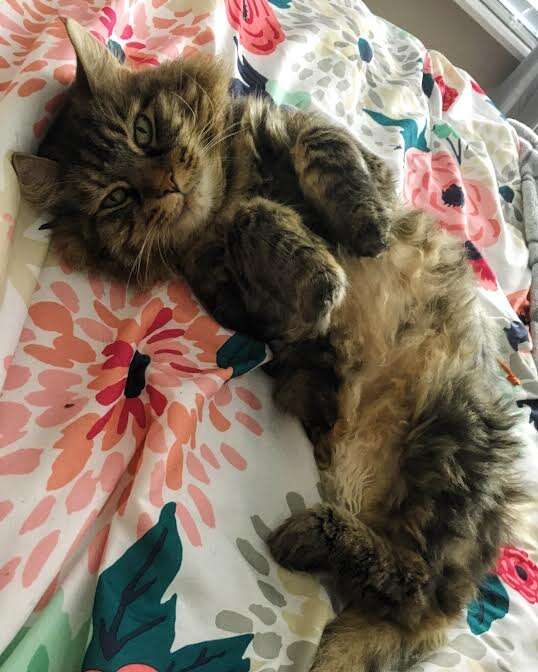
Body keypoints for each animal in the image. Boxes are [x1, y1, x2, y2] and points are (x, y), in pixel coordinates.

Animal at [13, 18, 524, 672]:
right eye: (116, 198)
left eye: (144, 131)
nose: (166, 184)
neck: (232, 180)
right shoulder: (238, 300)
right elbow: (256, 222)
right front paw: (324, 278)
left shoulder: (319, 141)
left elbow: (329, 151)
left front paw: (366, 234)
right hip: (440, 462)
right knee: (412, 584)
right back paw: (312, 536)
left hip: (448, 440)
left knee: (418, 591)